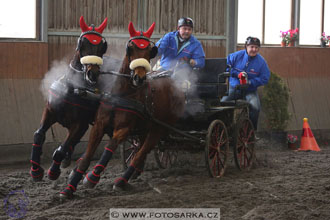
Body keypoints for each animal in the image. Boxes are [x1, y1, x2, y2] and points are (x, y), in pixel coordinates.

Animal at [29, 16, 110, 181]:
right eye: (83, 43)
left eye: (102, 47)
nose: (92, 74)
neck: (72, 87)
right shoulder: (50, 111)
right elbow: (39, 135)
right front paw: (36, 170)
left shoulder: (80, 124)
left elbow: (61, 149)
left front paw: (53, 172)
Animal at [60, 21, 186, 199]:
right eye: (130, 48)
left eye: (150, 51)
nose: (139, 77)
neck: (122, 94)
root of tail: (177, 86)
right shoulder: (99, 125)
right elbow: (87, 155)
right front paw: (70, 187)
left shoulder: (124, 129)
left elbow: (110, 146)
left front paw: (92, 178)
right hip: (145, 128)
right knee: (139, 149)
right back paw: (134, 173)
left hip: (158, 128)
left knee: (141, 153)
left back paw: (122, 180)